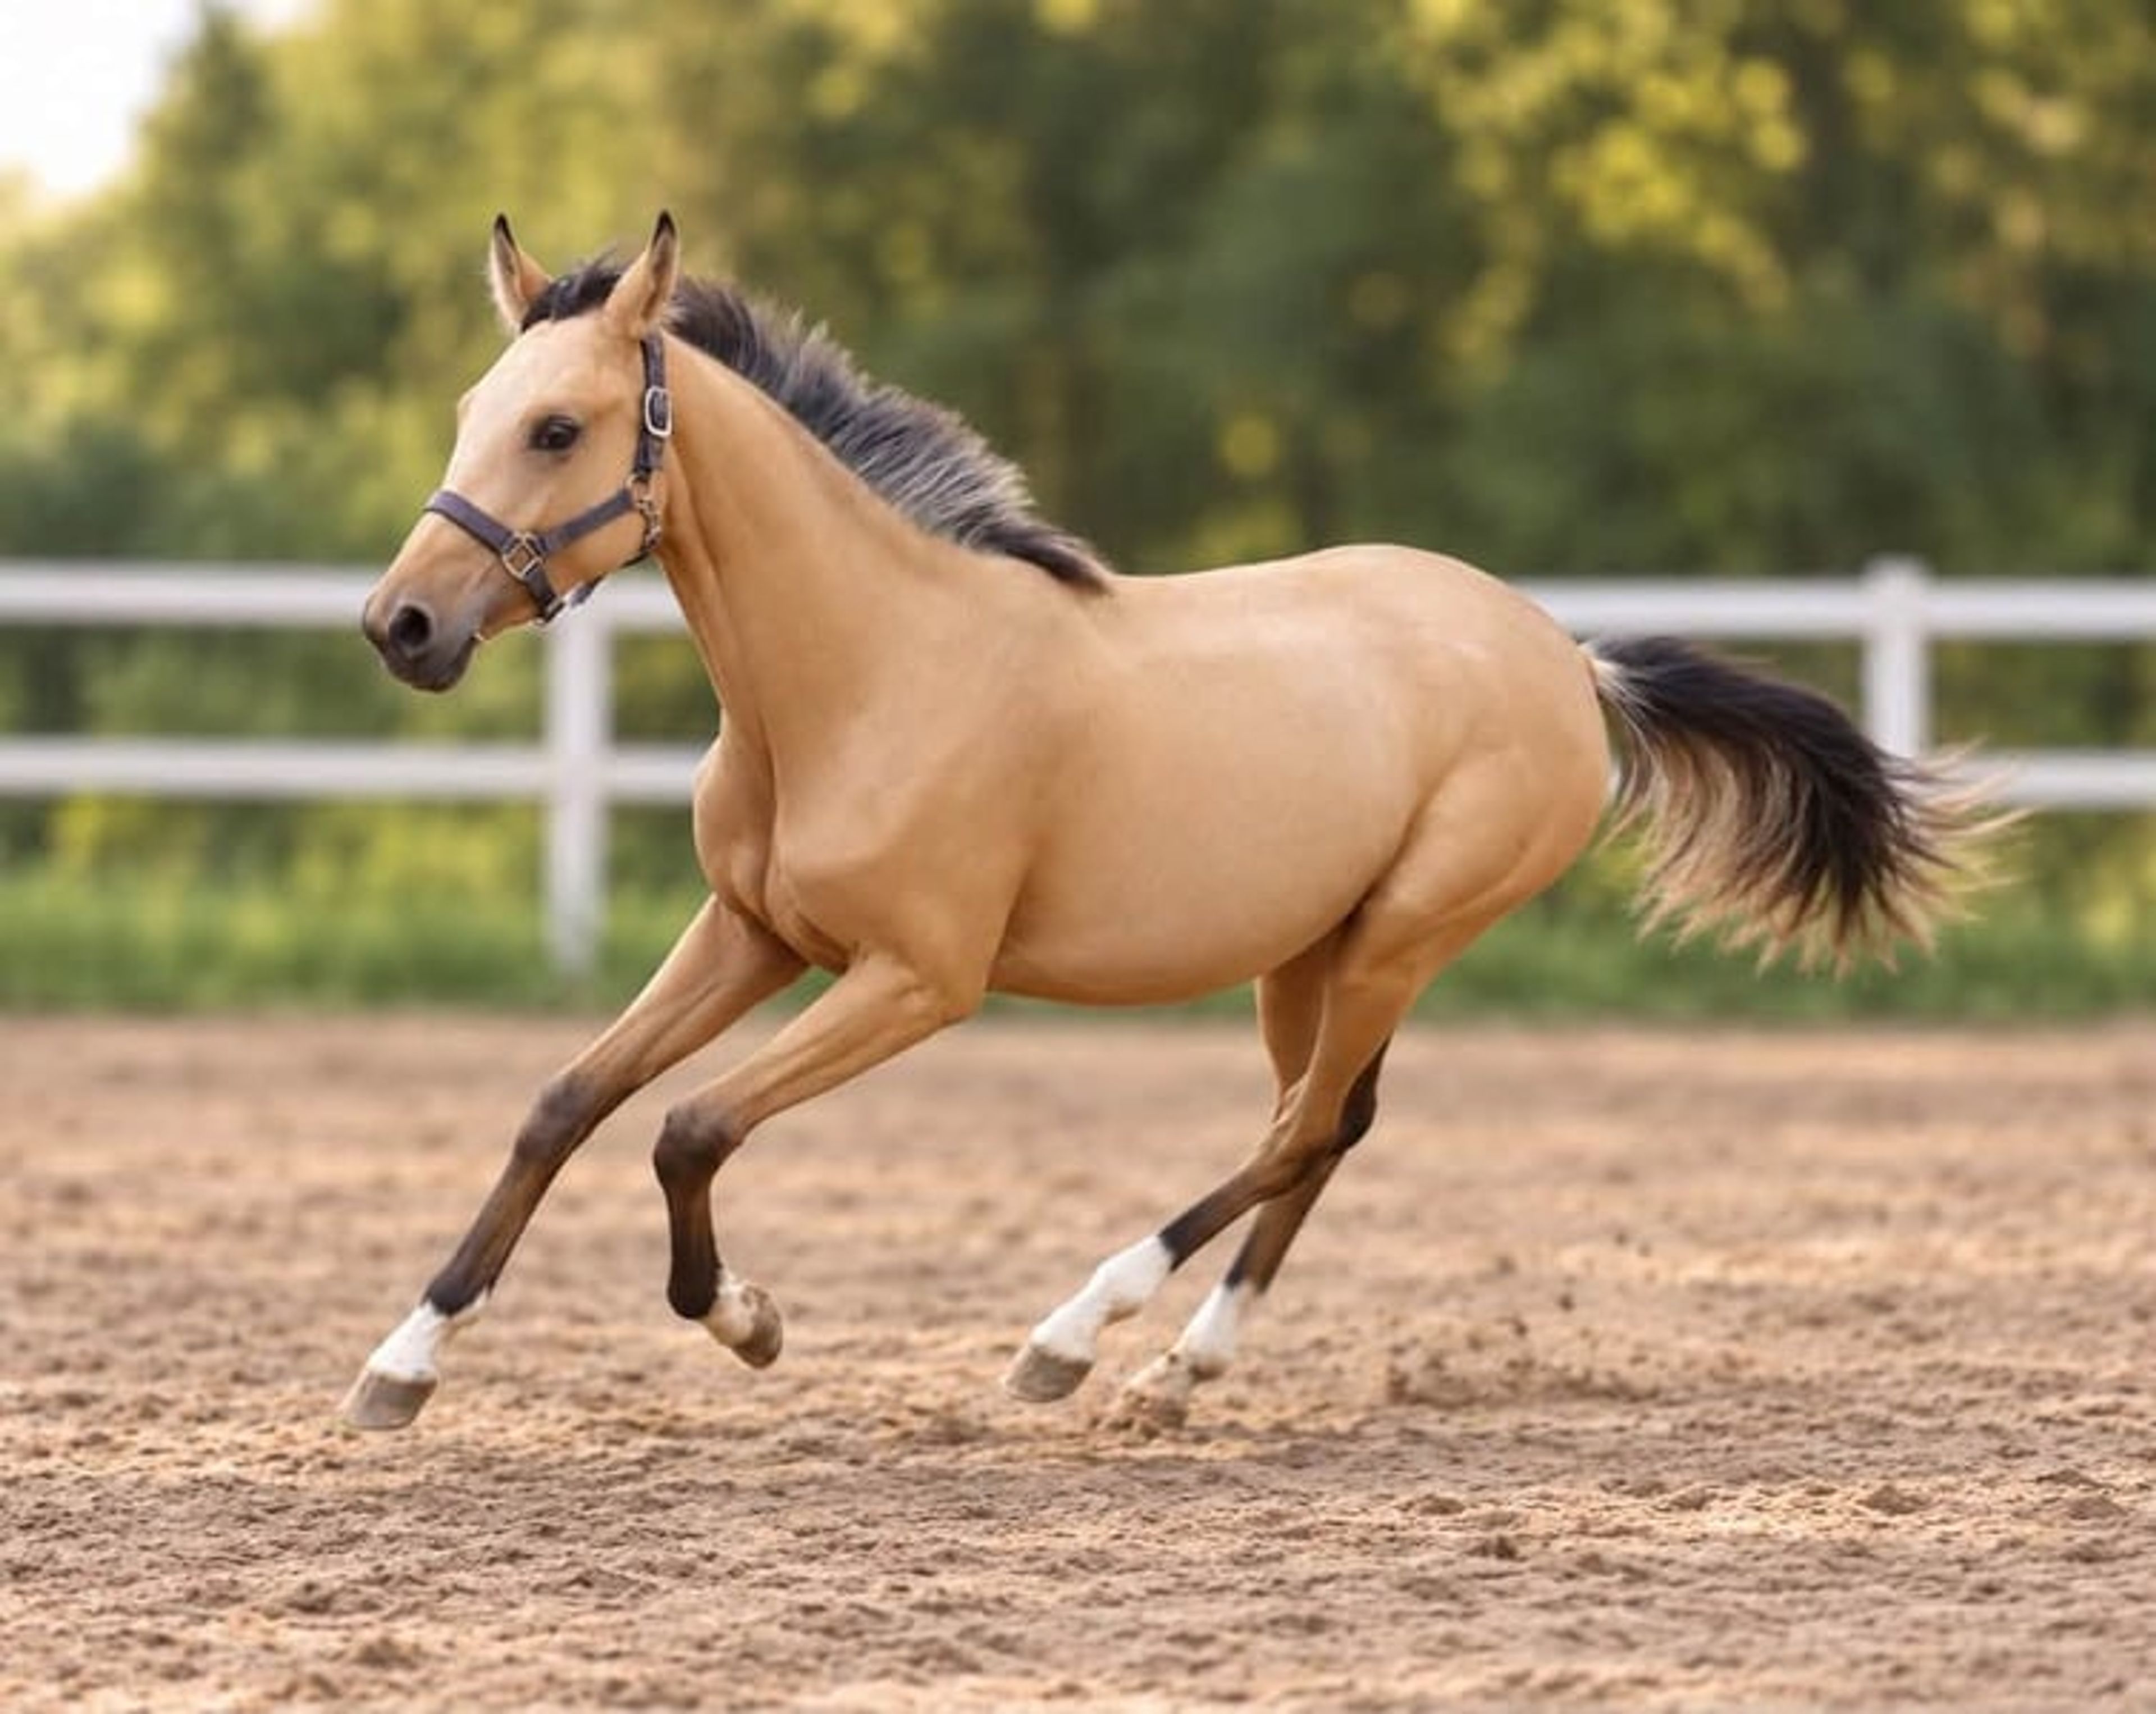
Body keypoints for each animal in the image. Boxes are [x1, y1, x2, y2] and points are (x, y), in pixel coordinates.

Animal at [347, 213, 1991, 1432]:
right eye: (475, 413)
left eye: (557, 428)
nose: (401, 626)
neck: (871, 672)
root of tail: (1569, 661)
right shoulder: (751, 932)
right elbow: (565, 1102)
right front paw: (397, 1368)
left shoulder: (916, 981)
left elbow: (688, 1128)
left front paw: (750, 1322)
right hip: (1308, 950)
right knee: (1321, 1129)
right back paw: (1176, 1375)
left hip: (1405, 933)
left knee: (1304, 1128)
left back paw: (1072, 1340)